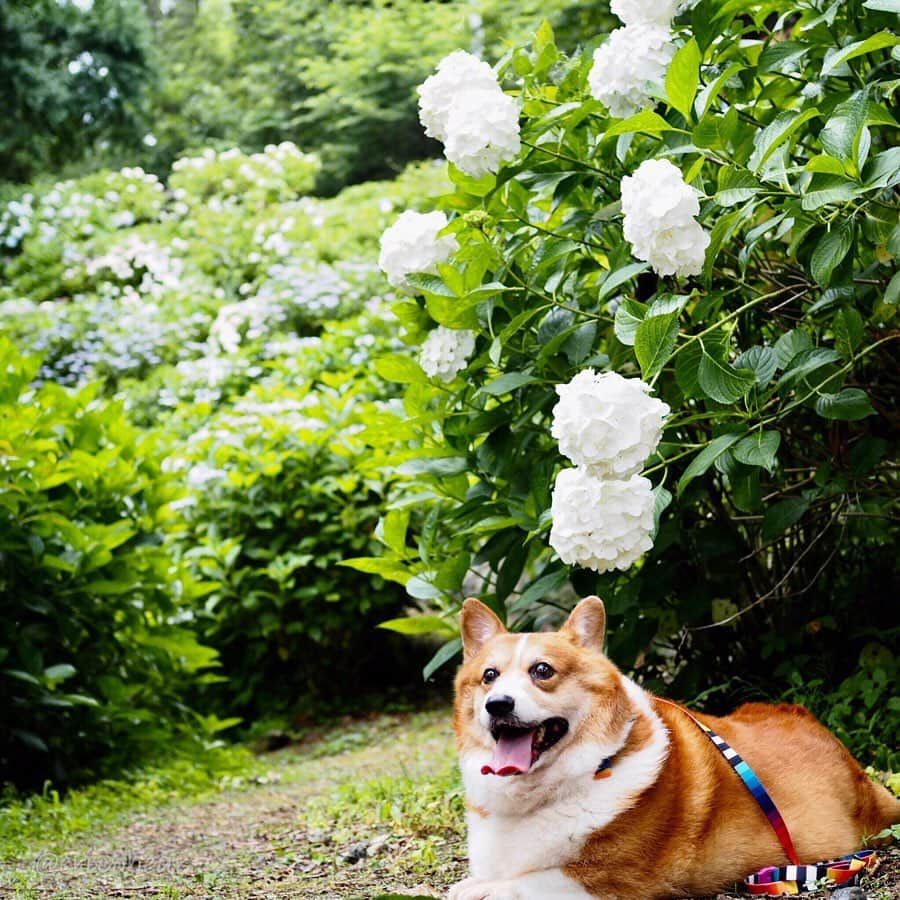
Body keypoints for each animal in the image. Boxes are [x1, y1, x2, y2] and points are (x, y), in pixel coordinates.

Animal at [450, 596, 900, 900]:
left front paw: (478, 888)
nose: (497, 705)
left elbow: (523, 883)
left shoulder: (615, 880)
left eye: (542, 671)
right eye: (489, 676)